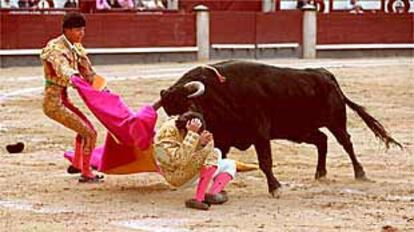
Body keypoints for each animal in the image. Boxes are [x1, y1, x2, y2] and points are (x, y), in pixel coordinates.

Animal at [158, 59, 402, 196]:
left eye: (190, 104)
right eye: (170, 111)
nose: (182, 122)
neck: (219, 95)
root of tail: (325, 74)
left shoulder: (260, 133)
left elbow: (265, 162)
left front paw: (275, 188)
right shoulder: (225, 138)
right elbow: (219, 161)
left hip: (336, 121)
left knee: (346, 143)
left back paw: (360, 173)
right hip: (300, 130)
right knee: (321, 140)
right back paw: (320, 173)